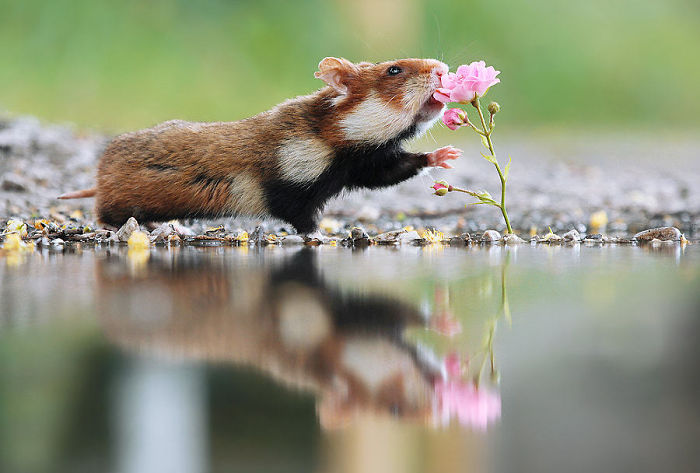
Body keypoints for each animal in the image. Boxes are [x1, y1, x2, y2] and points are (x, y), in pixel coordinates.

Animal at [59, 57, 462, 233]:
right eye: (394, 69)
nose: (443, 68)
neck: (333, 142)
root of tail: (99, 179)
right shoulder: (293, 183)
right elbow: (302, 220)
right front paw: (319, 236)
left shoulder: (363, 164)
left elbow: (396, 169)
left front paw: (444, 155)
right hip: (117, 203)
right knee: (102, 214)